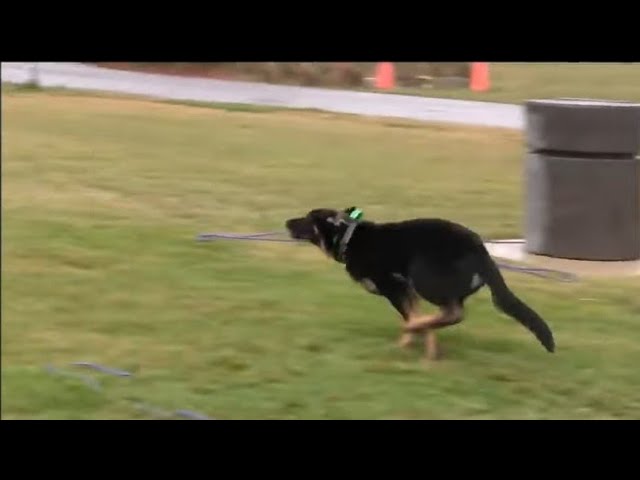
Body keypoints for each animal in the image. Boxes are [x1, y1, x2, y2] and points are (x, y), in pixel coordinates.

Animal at [285, 206, 555, 360]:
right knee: (448, 314)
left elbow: (412, 317)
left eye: (308, 219)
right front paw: (428, 348)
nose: (286, 222)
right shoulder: (408, 292)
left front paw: (409, 338)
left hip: (424, 276)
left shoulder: (395, 288)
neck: (349, 238)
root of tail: (480, 250)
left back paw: (413, 328)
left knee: (453, 313)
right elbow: (418, 317)